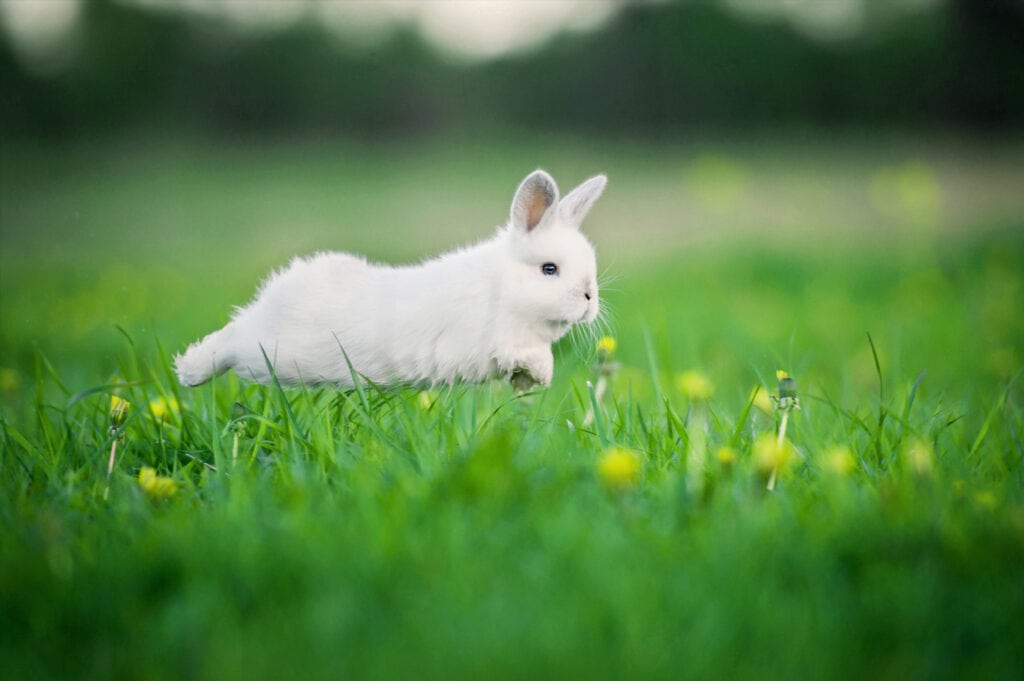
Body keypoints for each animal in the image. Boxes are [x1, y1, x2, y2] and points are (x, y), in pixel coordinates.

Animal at [175, 169, 602, 391]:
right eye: (549, 269)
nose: (588, 299)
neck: (505, 288)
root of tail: (274, 293)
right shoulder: (501, 340)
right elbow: (531, 354)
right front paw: (541, 375)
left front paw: (529, 385)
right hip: (272, 353)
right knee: (232, 340)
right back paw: (189, 371)